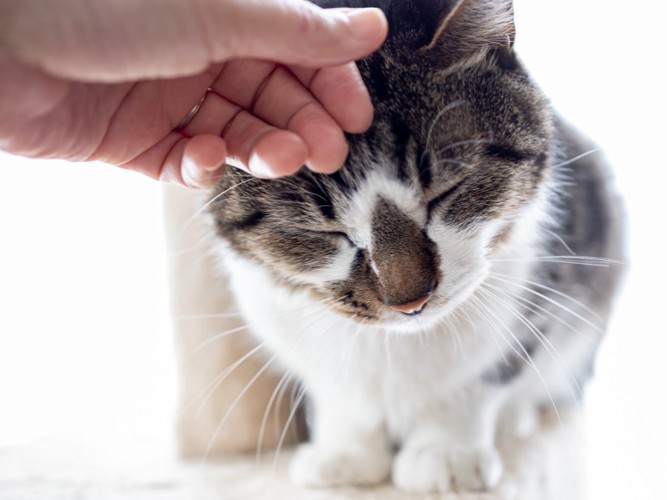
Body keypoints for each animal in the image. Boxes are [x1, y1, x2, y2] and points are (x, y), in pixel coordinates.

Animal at [201, 0, 624, 494]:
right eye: (319, 231)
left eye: (448, 192)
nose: (411, 302)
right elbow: (338, 389)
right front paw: (345, 455)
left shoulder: (539, 279)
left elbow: (482, 374)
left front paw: (445, 452)